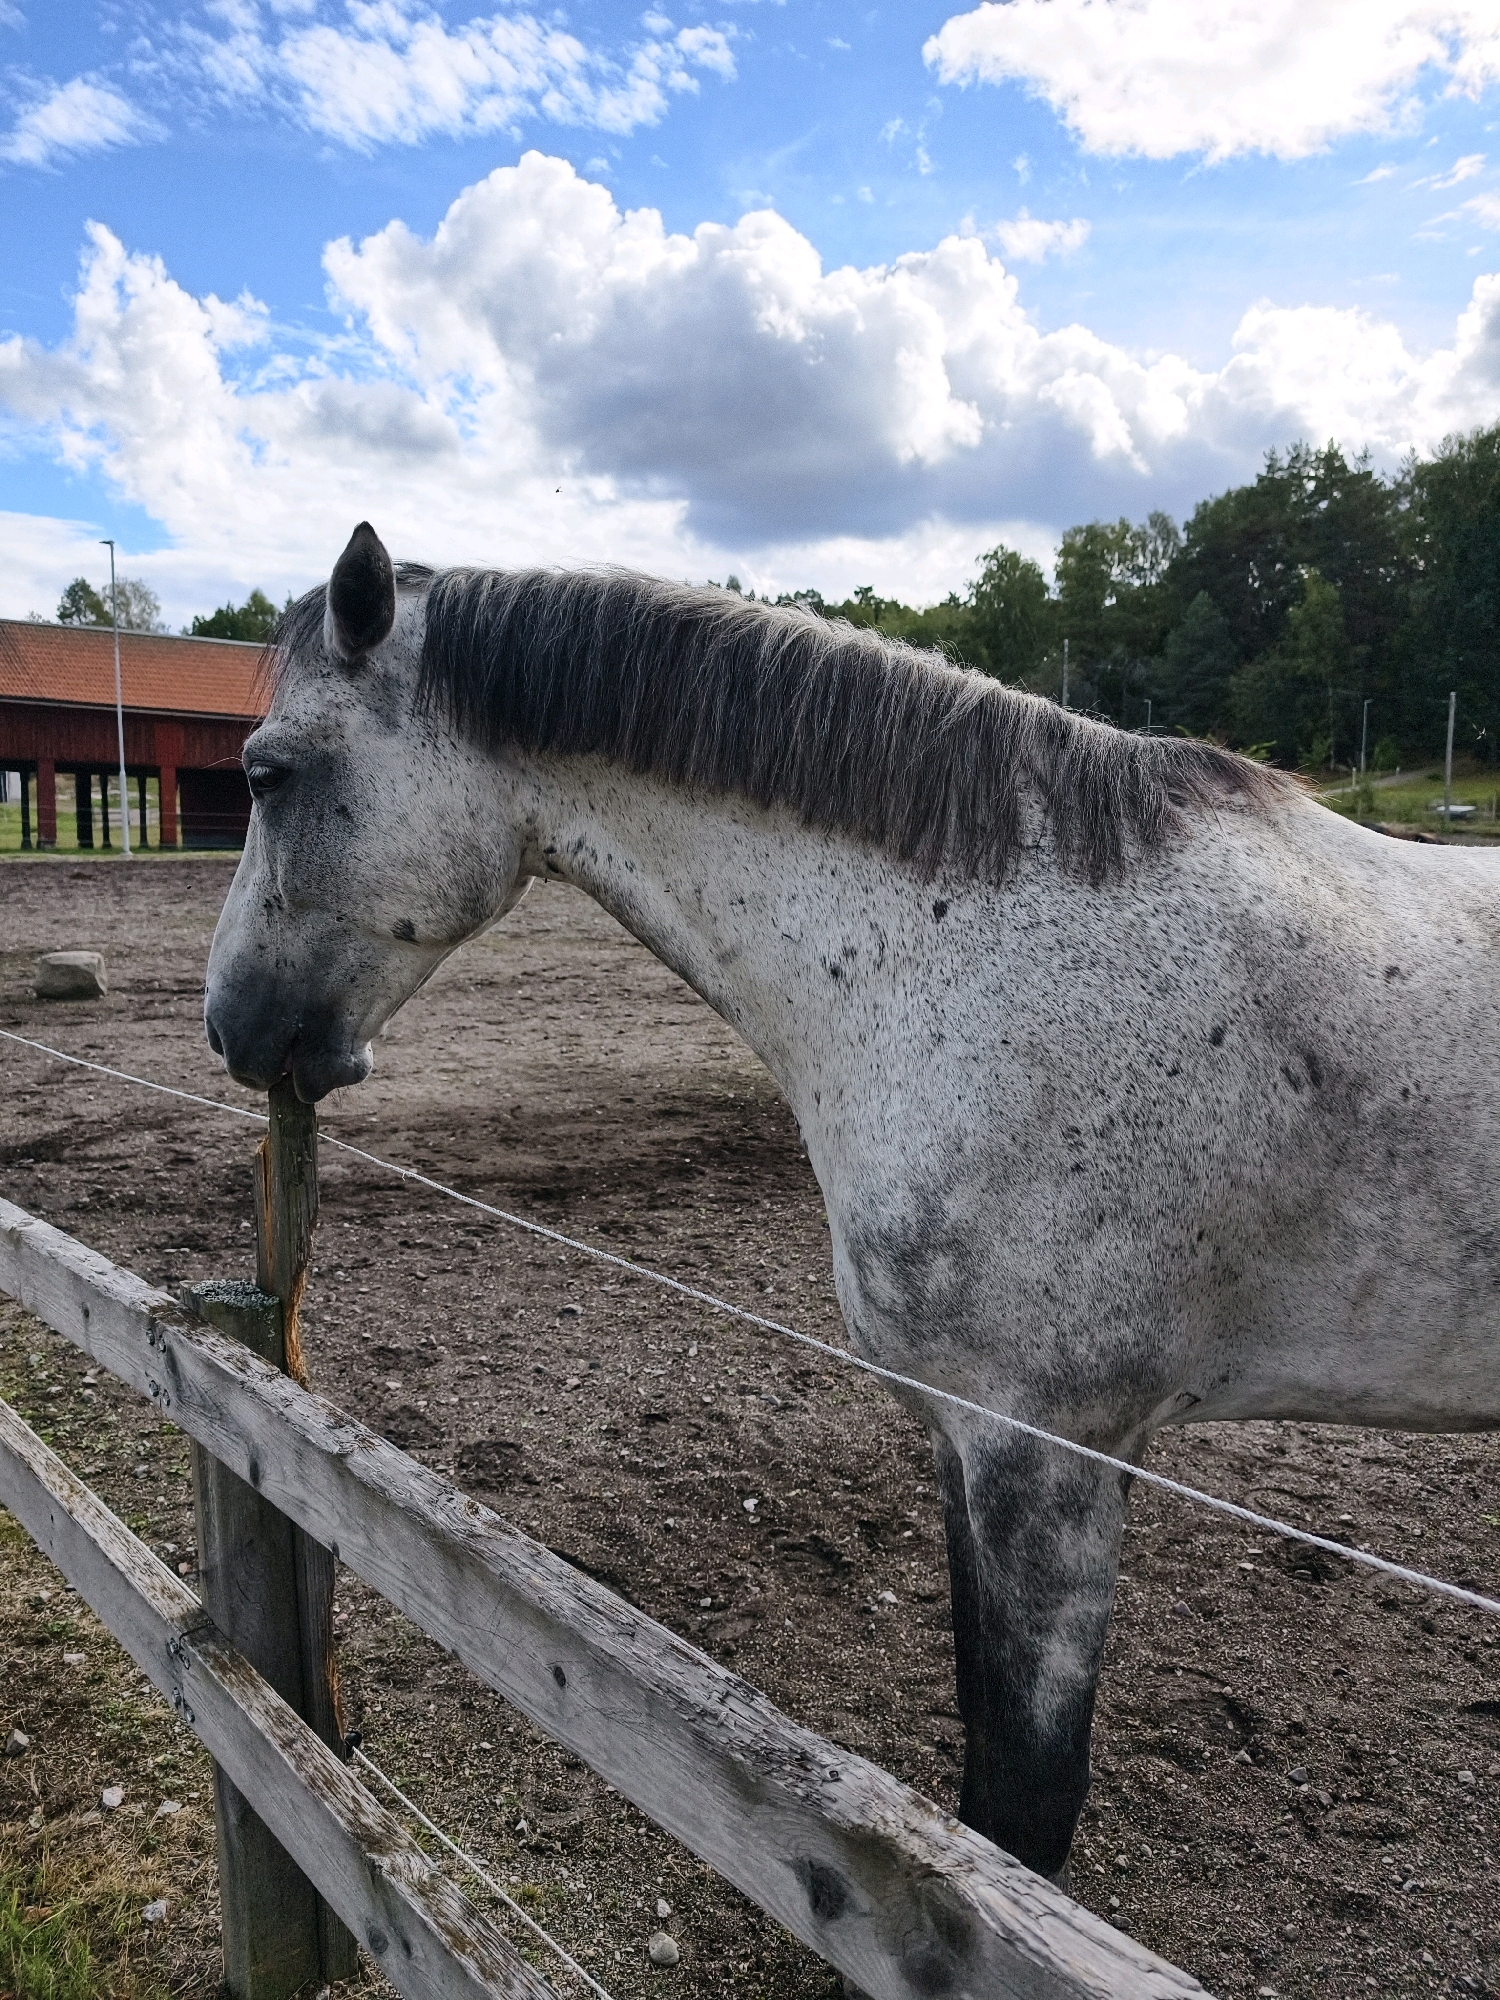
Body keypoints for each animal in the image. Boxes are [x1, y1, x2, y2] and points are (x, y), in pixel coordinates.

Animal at [205, 522, 1500, 1886]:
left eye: (266, 774)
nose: (228, 1022)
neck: (988, 961)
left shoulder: (1052, 1455)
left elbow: (1023, 1806)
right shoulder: (968, 1440)